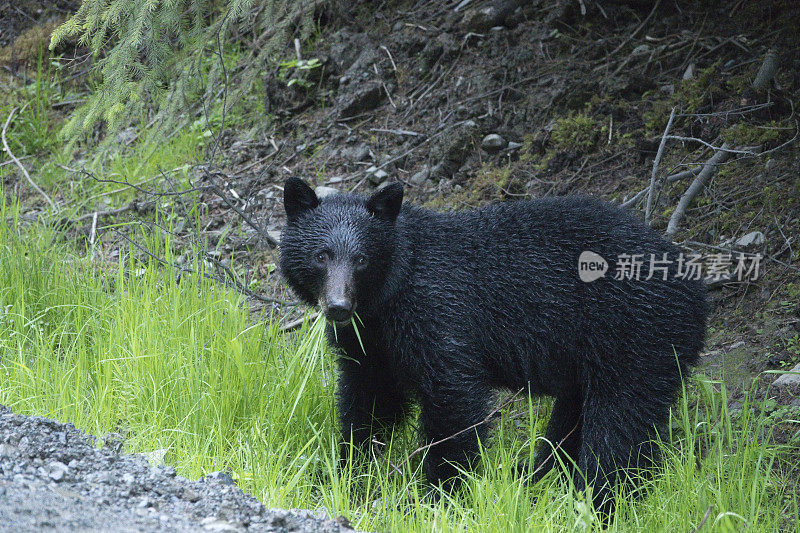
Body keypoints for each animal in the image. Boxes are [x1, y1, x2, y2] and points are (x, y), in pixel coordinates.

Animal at [280, 178, 708, 512]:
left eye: (362, 259)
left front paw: (440, 494)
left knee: (619, 427)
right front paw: (342, 472)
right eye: (321, 256)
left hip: (636, 338)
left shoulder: (439, 312)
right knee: (573, 420)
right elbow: (370, 401)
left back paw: (599, 498)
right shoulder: (371, 341)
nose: (338, 306)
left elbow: (452, 400)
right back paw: (539, 479)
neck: (388, 298)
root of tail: (697, 292)